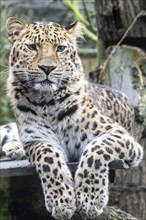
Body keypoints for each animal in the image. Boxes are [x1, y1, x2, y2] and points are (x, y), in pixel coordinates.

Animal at [0, 17, 144, 220]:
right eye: (32, 47)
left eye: (60, 48)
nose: (47, 68)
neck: (47, 101)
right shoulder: (37, 139)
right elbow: (48, 159)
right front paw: (61, 201)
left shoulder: (120, 135)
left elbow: (96, 150)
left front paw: (90, 198)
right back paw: (15, 148)